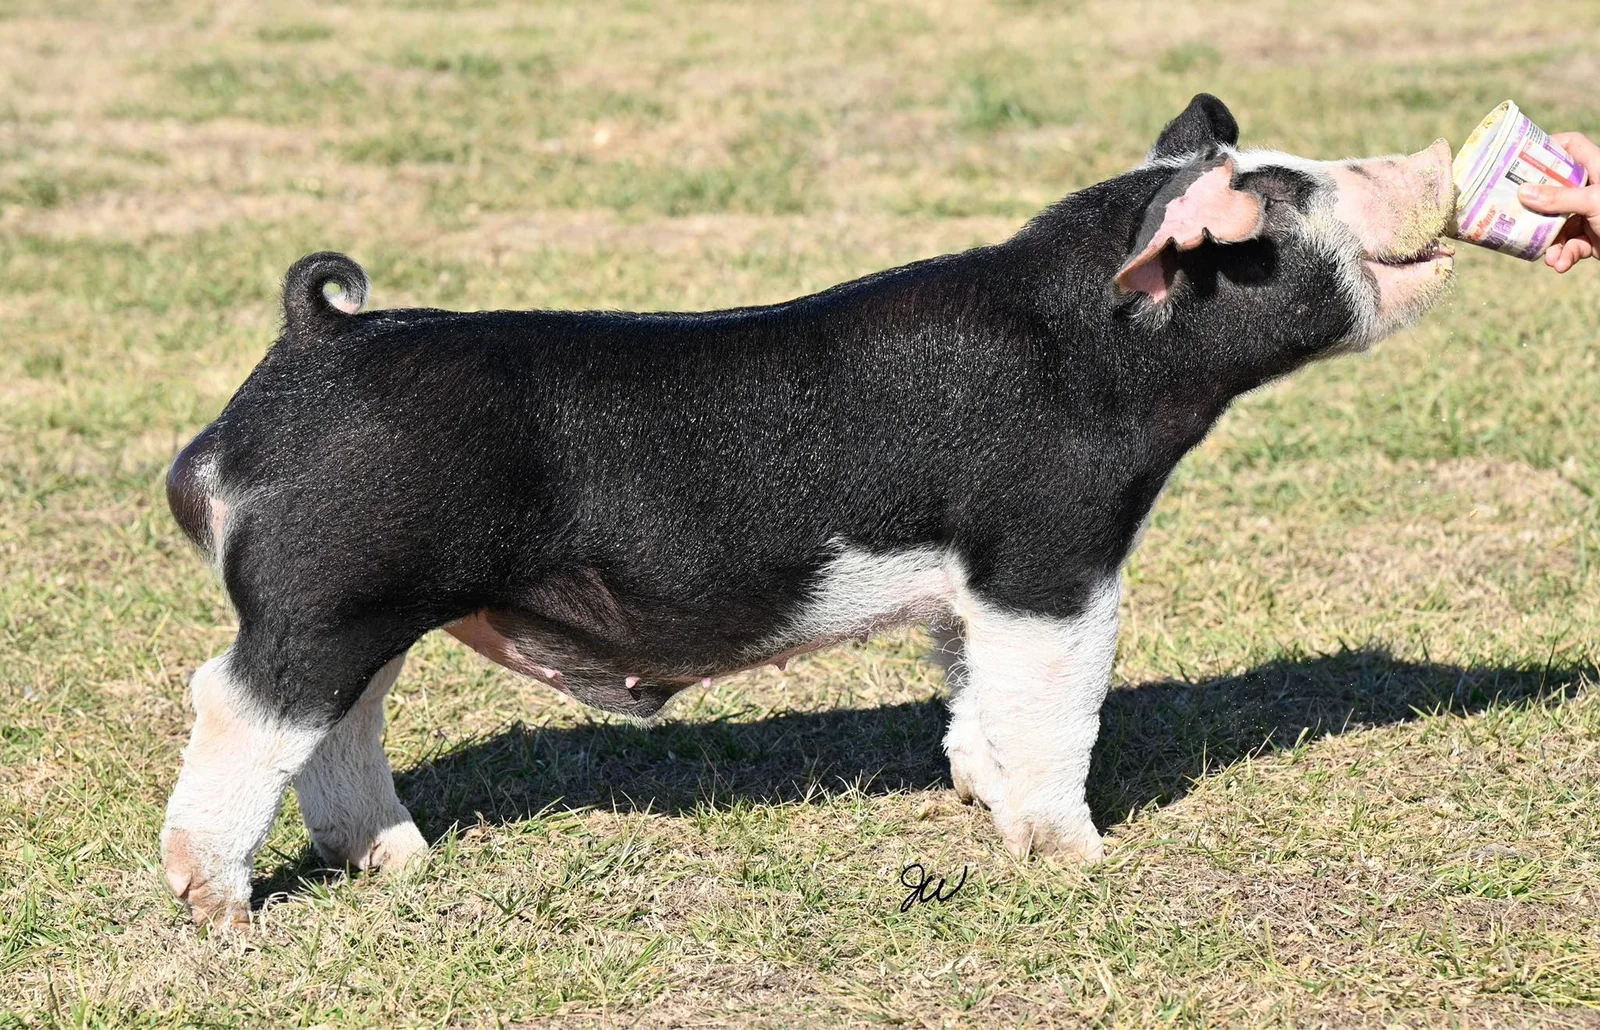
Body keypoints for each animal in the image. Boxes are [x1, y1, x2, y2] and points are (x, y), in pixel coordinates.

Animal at [160, 94, 1457, 927]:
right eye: (1288, 200)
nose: (1431, 161)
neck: (1094, 356)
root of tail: (311, 341)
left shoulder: (969, 588)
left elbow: (974, 696)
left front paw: (975, 798)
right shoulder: (1048, 549)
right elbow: (1058, 701)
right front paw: (1072, 860)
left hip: (374, 604)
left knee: (339, 729)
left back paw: (400, 865)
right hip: (328, 592)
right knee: (235, 703)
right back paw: (219, 906)